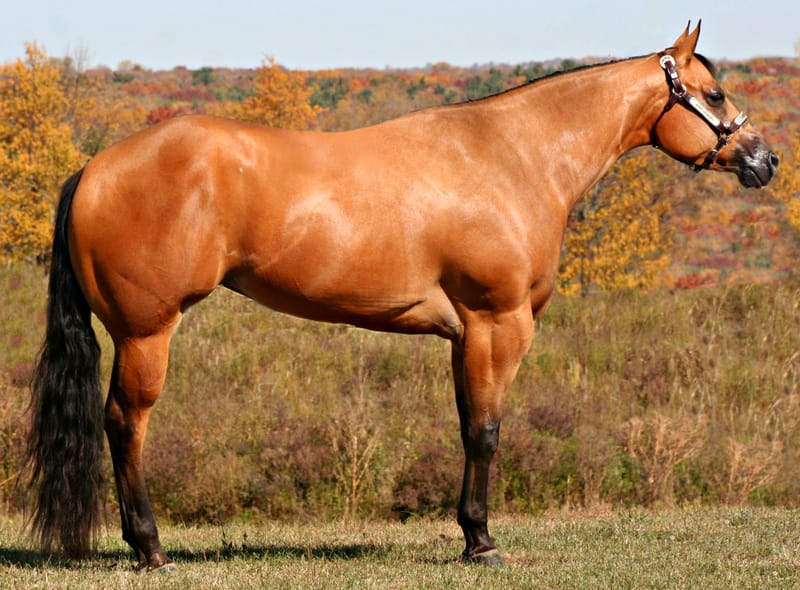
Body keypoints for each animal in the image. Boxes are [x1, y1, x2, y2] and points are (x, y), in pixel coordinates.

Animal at [24, 23, 778, 570]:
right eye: (713, 93)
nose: (765, 160)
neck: (514, 156)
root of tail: (94, 168)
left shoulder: (464, 335)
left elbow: (467, 424)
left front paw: (470, 533)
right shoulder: (497, 324)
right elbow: (486, 431)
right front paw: (482, 543)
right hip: (146, 332)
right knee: (126, 424)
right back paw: (149, 548)